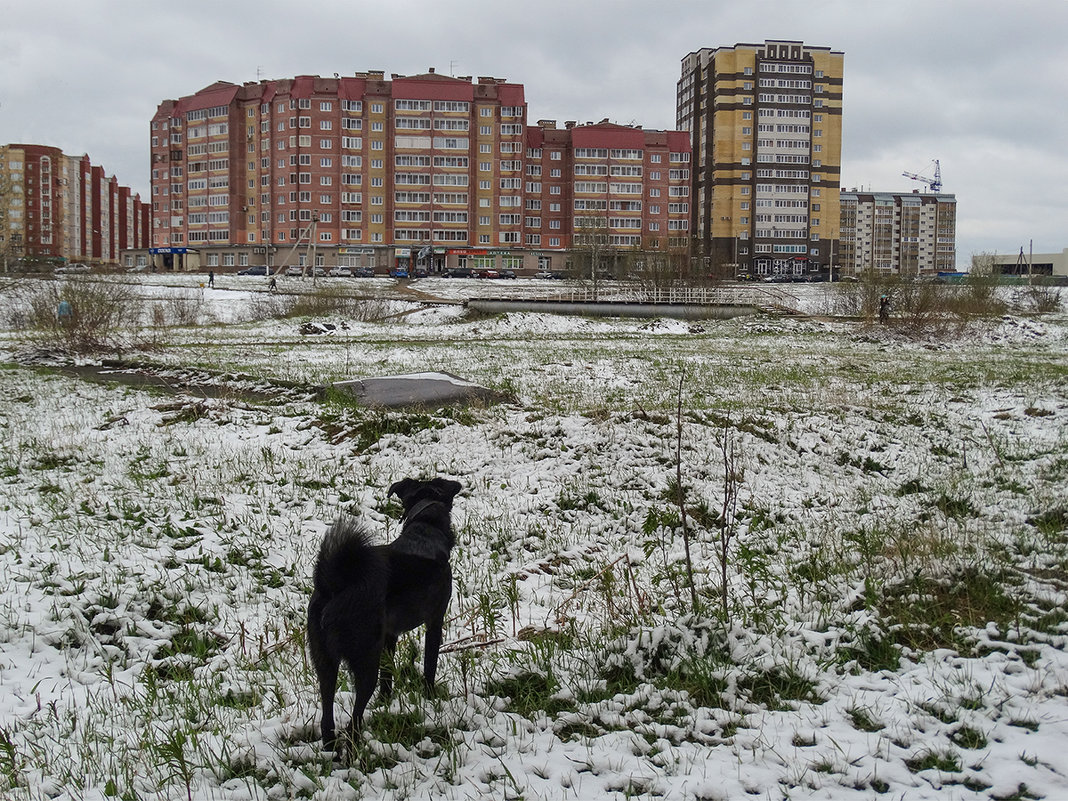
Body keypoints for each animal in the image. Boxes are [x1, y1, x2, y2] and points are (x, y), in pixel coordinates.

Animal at [307, 480, 461, 751]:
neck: (425, 530)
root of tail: (337, 586)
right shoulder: (435, 621)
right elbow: (430, 665)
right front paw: (430, 698)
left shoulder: (389, 635)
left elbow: (388, 675)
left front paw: (385, 702)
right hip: (366, 659)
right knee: (355, 718)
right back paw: (354, 747)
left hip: (325, 661)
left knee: (327, 716)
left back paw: (330, 749)